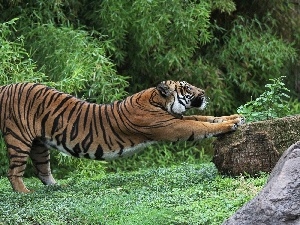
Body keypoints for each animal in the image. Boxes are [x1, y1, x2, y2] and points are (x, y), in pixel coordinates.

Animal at [0, 80, 245, 192]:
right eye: (187, 88)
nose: (203, 92)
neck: (158, 101)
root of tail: (6, 87)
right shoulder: (173, 126)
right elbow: (201, 126)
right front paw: (232, 124)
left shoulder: (177, 118)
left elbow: (206, 118)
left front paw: (235, 117)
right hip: (19, 139)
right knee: (13, 172)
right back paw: (25, 193)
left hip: (39, 145)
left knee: (43, 171)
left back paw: (58, 187)